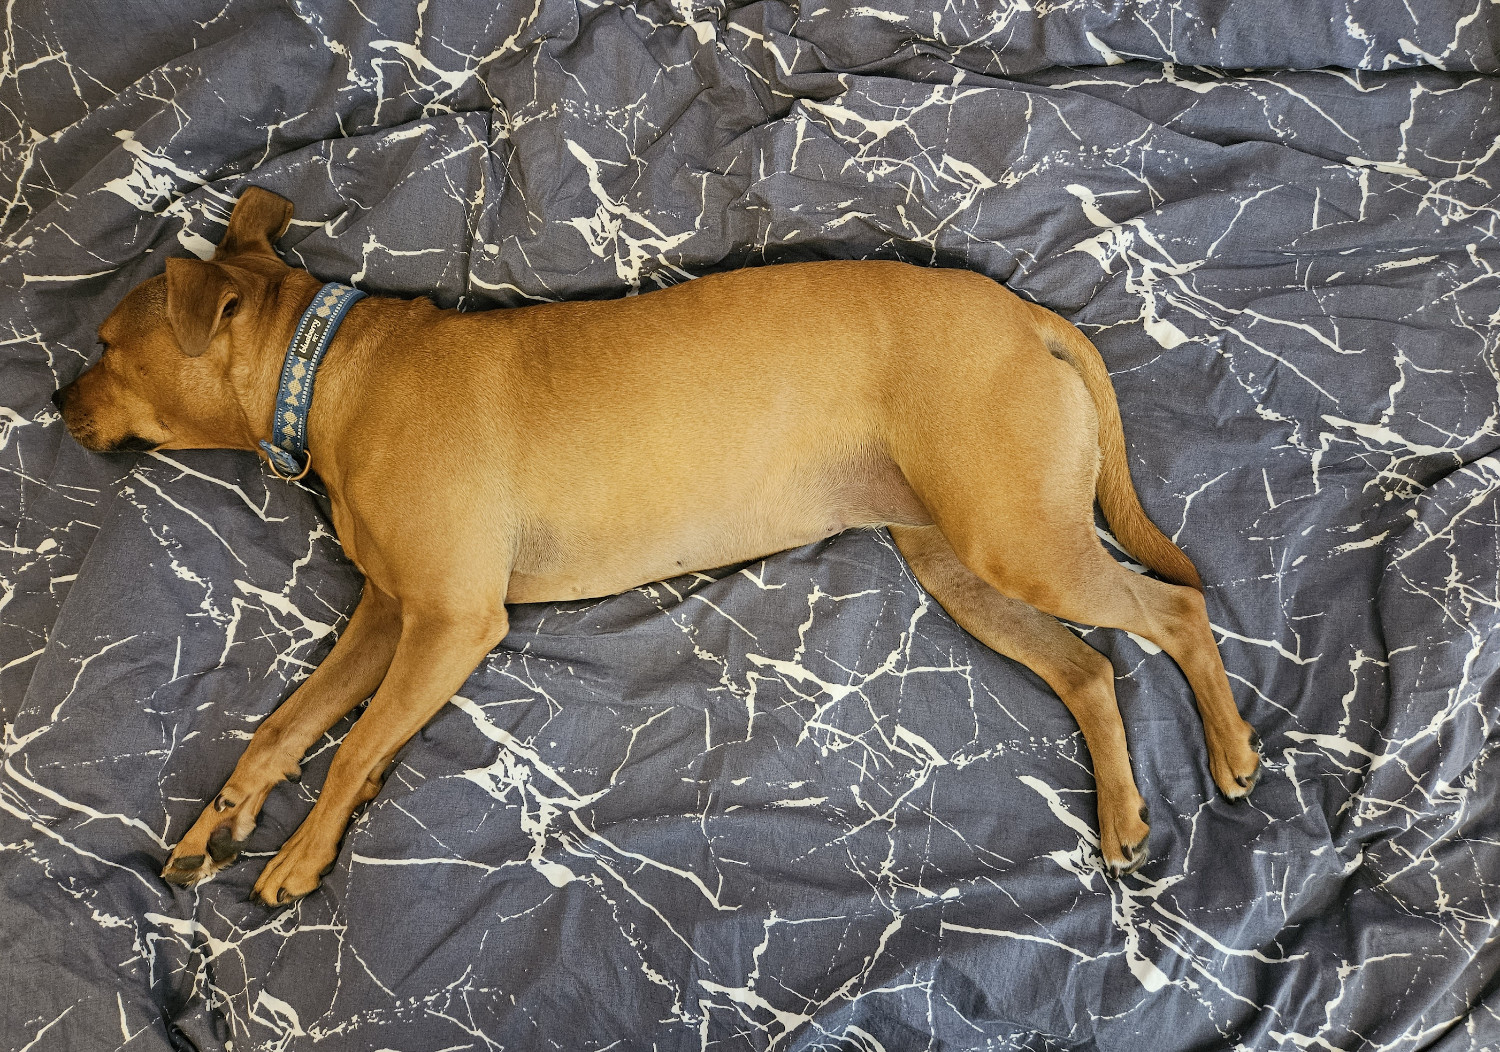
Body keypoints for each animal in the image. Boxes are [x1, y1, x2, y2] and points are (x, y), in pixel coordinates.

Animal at [52, 186, 1260, 900]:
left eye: (105, 342)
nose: (57, 401)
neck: (330, 372)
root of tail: (1031, 316)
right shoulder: (386, 621)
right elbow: (283, 727)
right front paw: (220, 824)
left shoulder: (447, 623)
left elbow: (348, 749)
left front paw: (301, 854)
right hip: (964, 564)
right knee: (1091, 669)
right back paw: (1123, 815)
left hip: (1016, 541)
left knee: (1174, 608)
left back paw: (1233, 751)